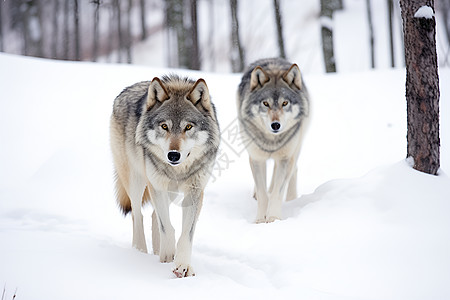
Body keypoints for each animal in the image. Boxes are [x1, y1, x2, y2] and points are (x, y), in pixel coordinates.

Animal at [110, 74, 220, 276]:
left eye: (188, 127)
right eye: (164, 126)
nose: (173, 155)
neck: (178, 170)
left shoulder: (194, 191)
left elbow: (185, 233)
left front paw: (182, 265)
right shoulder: (157, 187)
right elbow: (167, 228)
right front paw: (167, 257)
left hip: (171, 193)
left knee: (153, 216)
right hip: (136, 181)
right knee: (137, 215)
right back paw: (139, 252)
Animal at [237, 58, 312, 223]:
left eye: (285, 103)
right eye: (266, 103)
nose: (276, 125)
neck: (272, 141)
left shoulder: (285, 158)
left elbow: (278, 192)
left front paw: (274, 218)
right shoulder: (257, 158)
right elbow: (262, 193)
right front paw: (260, 219)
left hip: (296, 147)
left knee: (293, 169)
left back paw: (291, 198)